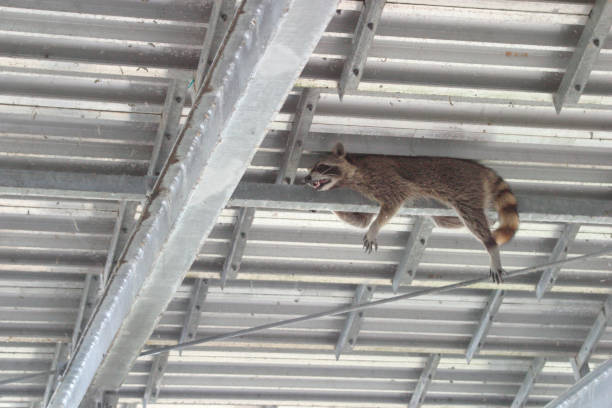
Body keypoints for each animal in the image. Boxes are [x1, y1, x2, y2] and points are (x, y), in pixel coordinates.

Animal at [304, 143, 520, 284]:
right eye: (311, 167)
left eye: (321, 166)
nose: (306, 178)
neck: (353, 172)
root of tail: (482, 169)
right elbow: (361, 220)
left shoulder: (381, 176)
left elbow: (393, 200)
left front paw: (375, 229)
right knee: (447, 220)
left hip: (465, 187)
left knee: (472, 218)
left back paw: (491, 245)